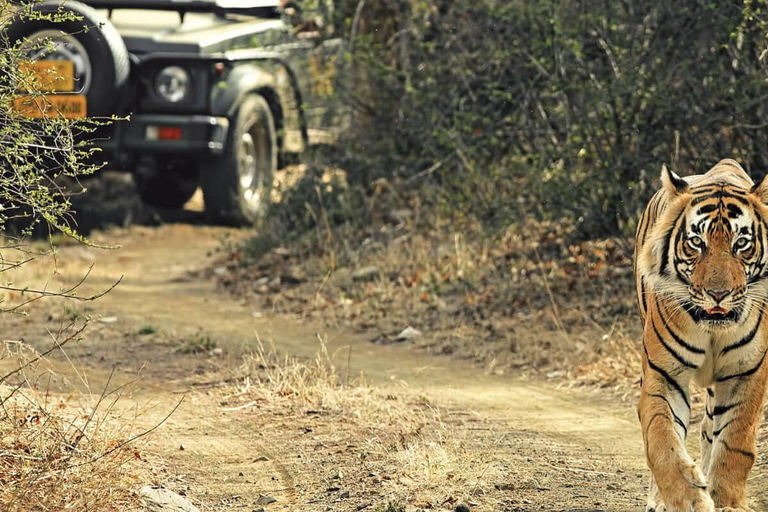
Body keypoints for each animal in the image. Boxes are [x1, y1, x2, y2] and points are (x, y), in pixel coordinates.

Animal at [634, 158, 768, 512]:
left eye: (741, 244)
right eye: (697, 243)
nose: (718, 294)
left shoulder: (746, 373)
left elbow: (735, 443)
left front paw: (727, 501)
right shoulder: (664, 375)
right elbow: (661, 441)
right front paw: (688, 498)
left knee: (710, 428)